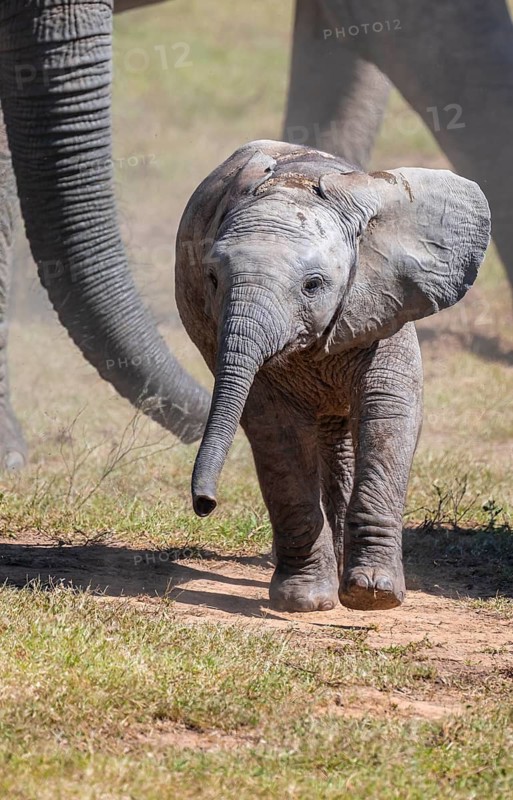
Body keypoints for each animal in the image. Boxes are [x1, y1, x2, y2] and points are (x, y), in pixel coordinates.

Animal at [175, 140, 490, 612]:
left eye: (313, 285)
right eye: (211, 278)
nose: (205, 504)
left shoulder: (384, 299)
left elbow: (391, 412)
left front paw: (372, 595)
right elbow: (275, 432)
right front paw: (304, 601)